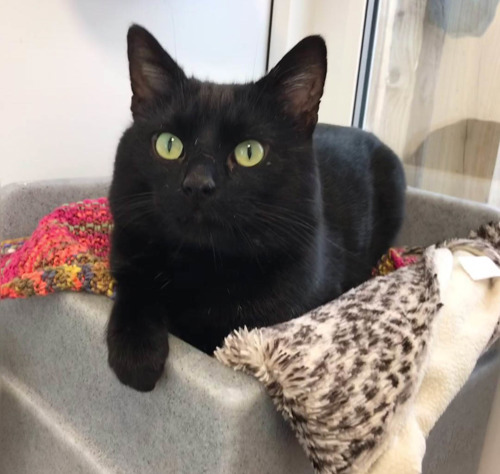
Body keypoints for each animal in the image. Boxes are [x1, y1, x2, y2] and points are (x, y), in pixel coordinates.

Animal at [106, 24, 406, 390]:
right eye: (168, 145)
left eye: (250, 152)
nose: (198, 184)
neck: (203, 266)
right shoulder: (126, 251)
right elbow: (134, 290)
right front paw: (136, 355)